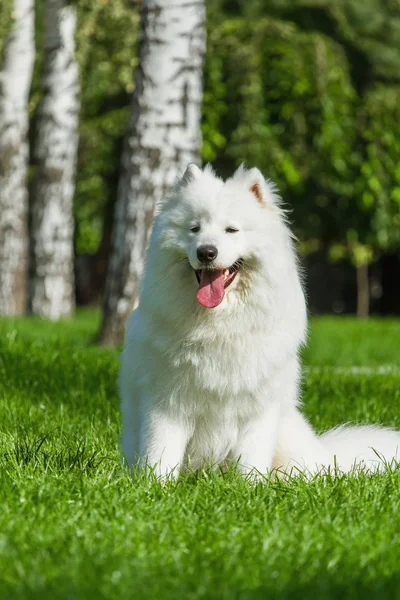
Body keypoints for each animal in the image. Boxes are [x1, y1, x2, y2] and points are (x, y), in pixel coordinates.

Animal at [119, 163, 400, 478]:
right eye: (194, 229)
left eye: (231, 230)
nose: (206, 252)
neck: (218, 327)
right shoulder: (166, 404)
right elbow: (160, 454)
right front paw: (156, 485)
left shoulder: (257, 410)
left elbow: (250, 461)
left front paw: (249, 486)